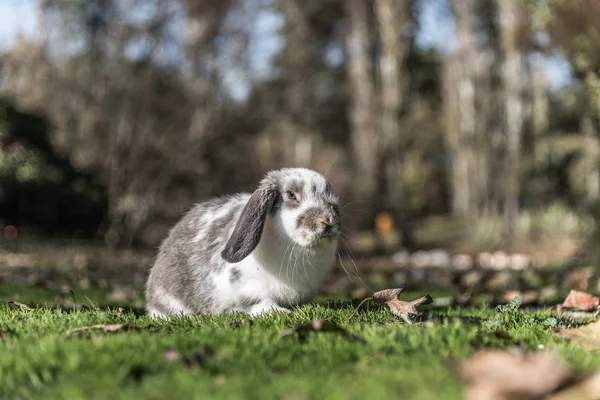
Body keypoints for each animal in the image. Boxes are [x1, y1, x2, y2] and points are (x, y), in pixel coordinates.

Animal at [144, 167, 342, 318]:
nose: (328, 221)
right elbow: (257, 302)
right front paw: (277, 311)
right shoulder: (246, 286)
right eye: (291, 195)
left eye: (330, 195)